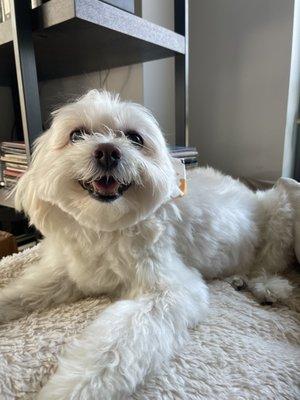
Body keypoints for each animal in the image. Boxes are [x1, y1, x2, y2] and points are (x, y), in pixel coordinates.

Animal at [0, 90, 300, 400]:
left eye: (135, 138)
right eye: (77, 134)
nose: (107, 151)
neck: (106, 227)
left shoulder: (169, 292)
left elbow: (116, 346)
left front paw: (72, 390)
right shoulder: (65, 274)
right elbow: (23, 292)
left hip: (280, 205)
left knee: (266, 264)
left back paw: (267, 287)